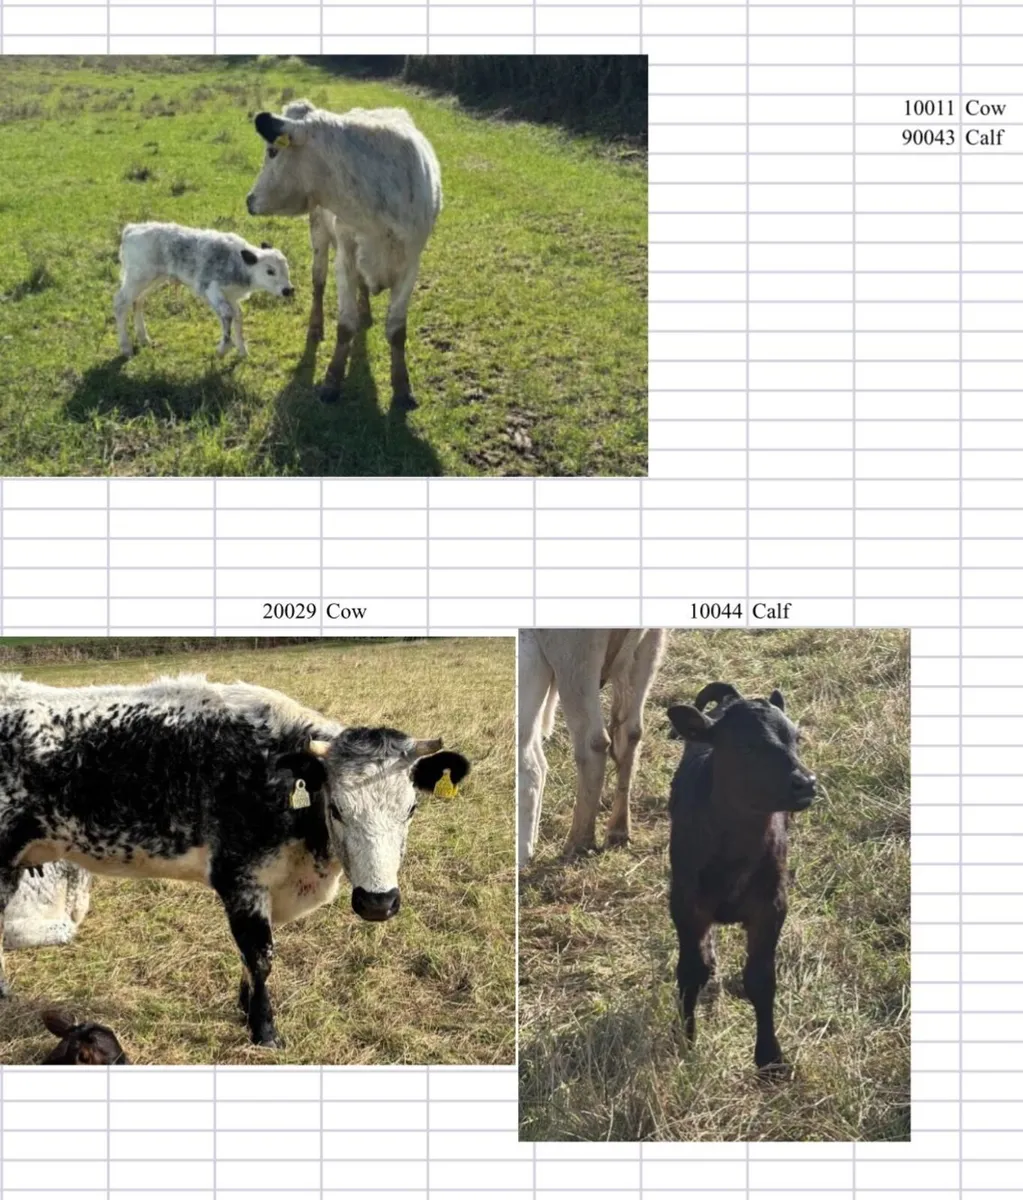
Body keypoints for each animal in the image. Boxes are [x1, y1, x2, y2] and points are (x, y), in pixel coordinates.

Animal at [0, 673, 470, 1048]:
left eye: (411, 809)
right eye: (336, 808)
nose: (377, 903)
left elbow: (250, 960)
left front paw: (245, 1010)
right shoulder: (240, 879)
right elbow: (260, 956)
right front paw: (265, 1031)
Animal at [114, 223, 294, 358]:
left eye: (286, 267)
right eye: (270, 271)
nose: (288, 290)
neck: (238, 264)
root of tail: (131, 229)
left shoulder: (231, 295)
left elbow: (238, 316)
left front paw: (242, 351)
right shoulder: (211, 288)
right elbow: (227, 314)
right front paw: (223, 348)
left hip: (153, 279)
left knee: (137, 301)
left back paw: (143, 338)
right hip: (137, 276)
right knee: (121, 303)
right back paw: (126, 347)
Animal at [245, 101, 442, 408]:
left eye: (272, 151)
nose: (249, 200)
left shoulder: (410, 265)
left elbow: (397, 331)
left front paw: (402, 387)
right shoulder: (345, 261)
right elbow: (345, 326)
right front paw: (332, 381)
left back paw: (366, 311)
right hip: (319, 235)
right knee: (318, 282)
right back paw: (316, 327)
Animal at [518, 629, 667, 865]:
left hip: (574, 657)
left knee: (590, 744)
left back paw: (577, 843)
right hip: (648, 649)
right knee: (631, 734)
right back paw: (618, 831)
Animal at [666, 682, 816, 1074]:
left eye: (796, 738)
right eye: (746, 746)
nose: (806, 783)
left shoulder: (772, 904)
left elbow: (760, 980)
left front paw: (770, 1058)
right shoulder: (685, 903)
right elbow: (691, 972)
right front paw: (686, 1041)